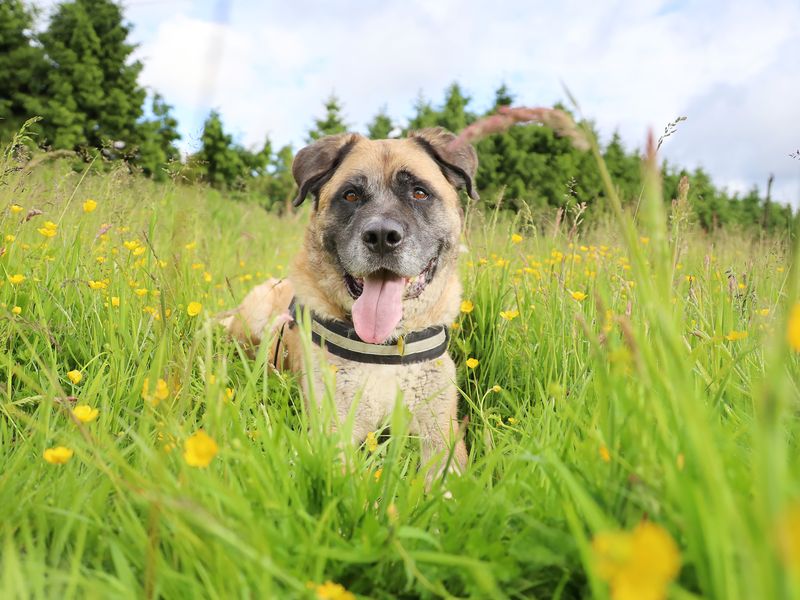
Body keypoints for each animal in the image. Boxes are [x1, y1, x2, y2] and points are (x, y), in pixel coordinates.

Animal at [220, 126, 476, 482]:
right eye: (351, 195)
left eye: (419, 193)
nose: (382, 237)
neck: (384, 348)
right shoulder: (332, 430)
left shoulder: (440, 430)